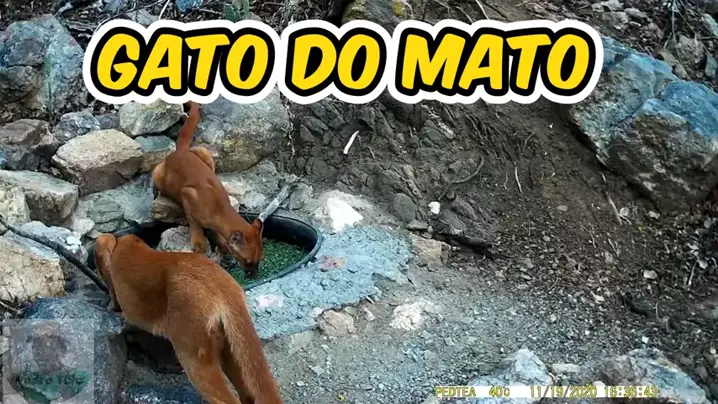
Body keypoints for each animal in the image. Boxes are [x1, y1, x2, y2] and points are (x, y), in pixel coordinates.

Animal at [151, 102, 264, 276]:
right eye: (249, 261)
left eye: (260, 259)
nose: (253, 274)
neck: (220, 209)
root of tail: (180, 152)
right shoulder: (188, 193)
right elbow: (194, 222)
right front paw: (199, 243)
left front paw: (221, 242)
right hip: (157, 174)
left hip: (205, 153)